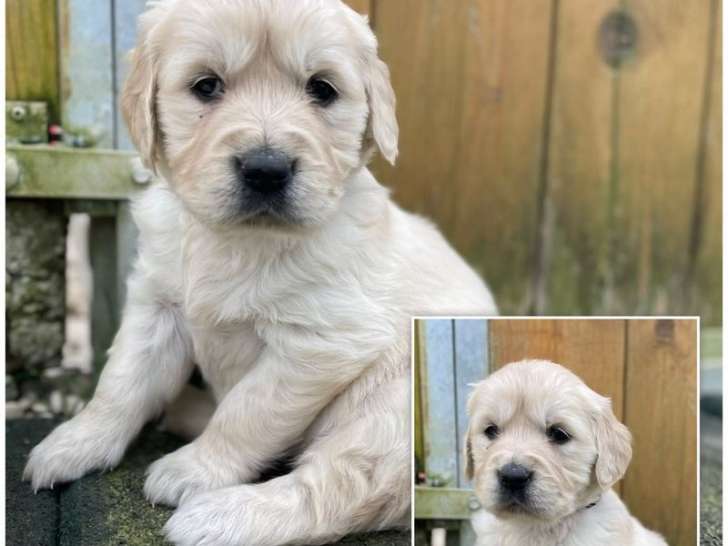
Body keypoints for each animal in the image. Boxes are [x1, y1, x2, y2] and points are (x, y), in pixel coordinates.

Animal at [25, 1, 498, 544]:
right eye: (207, 85)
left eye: (322, 89)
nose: (266, 169)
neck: (240, 240)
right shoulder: (157, 304)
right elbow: (121, 380)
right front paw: (76, 442)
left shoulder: (321, 344)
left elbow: (247, 413)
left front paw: (194, 471)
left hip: (388, 414)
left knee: (333, 487)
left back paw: (214, 517)